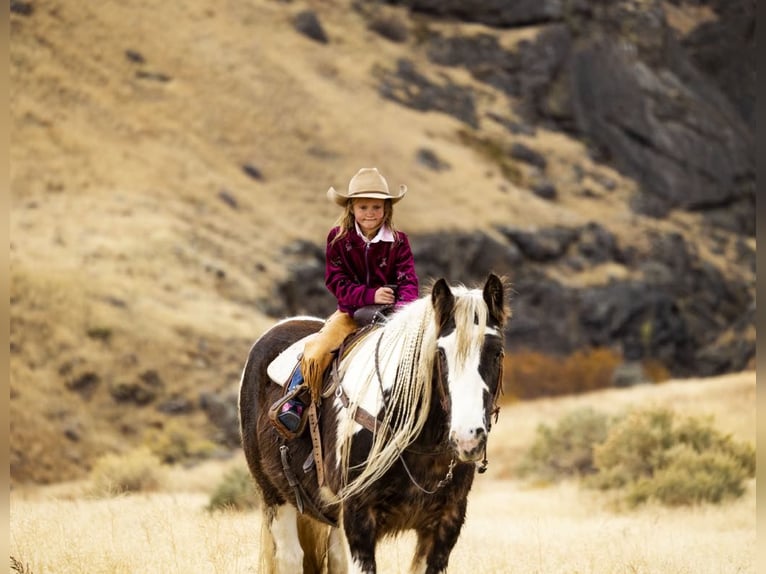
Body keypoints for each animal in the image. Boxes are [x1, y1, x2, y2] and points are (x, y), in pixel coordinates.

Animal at [240, 276, 510, 574]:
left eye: (497, 353)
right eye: (440, 353)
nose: (467, 437)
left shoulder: (445, 523)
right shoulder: (358, 520)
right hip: (276, 496)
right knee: (290, 557)